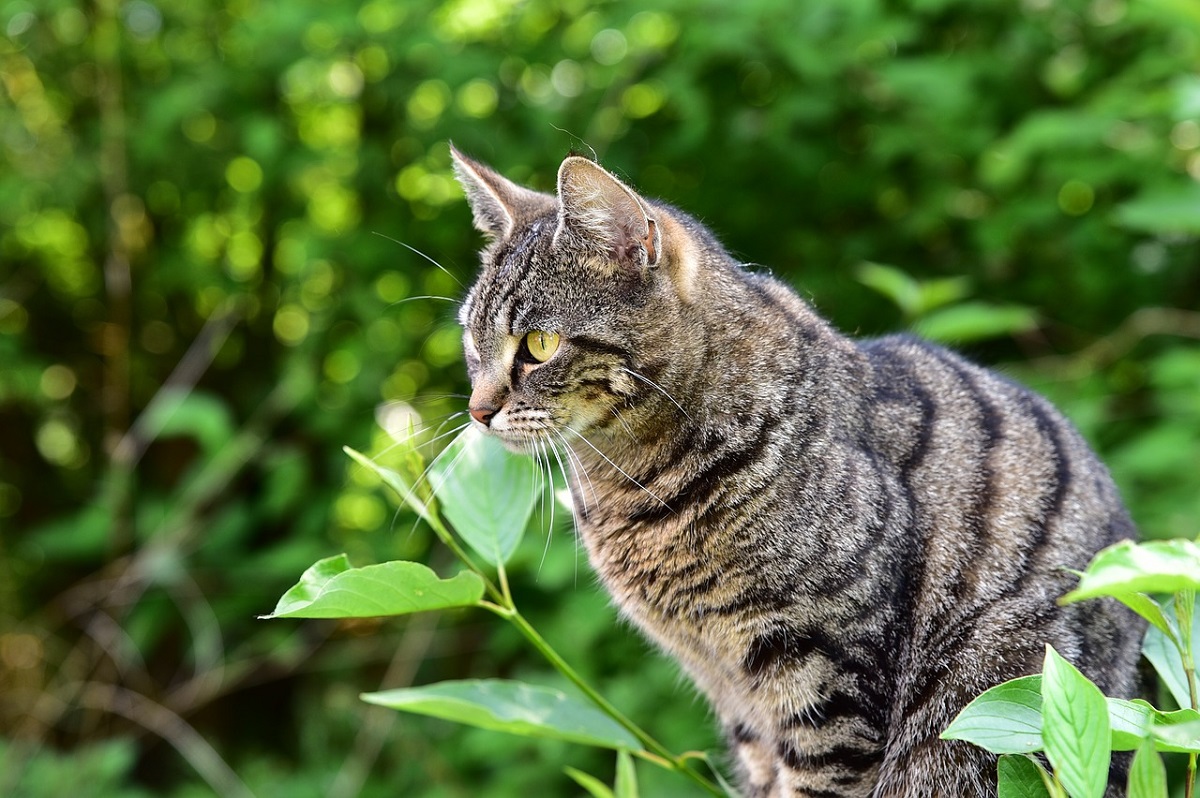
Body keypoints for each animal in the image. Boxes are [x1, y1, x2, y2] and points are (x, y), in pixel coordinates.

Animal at [448, 144, 1142, 796]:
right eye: (471, 340)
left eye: (538, 346)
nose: (477, 410)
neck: (630, 486)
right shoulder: (735, 698)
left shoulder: (824, 671)